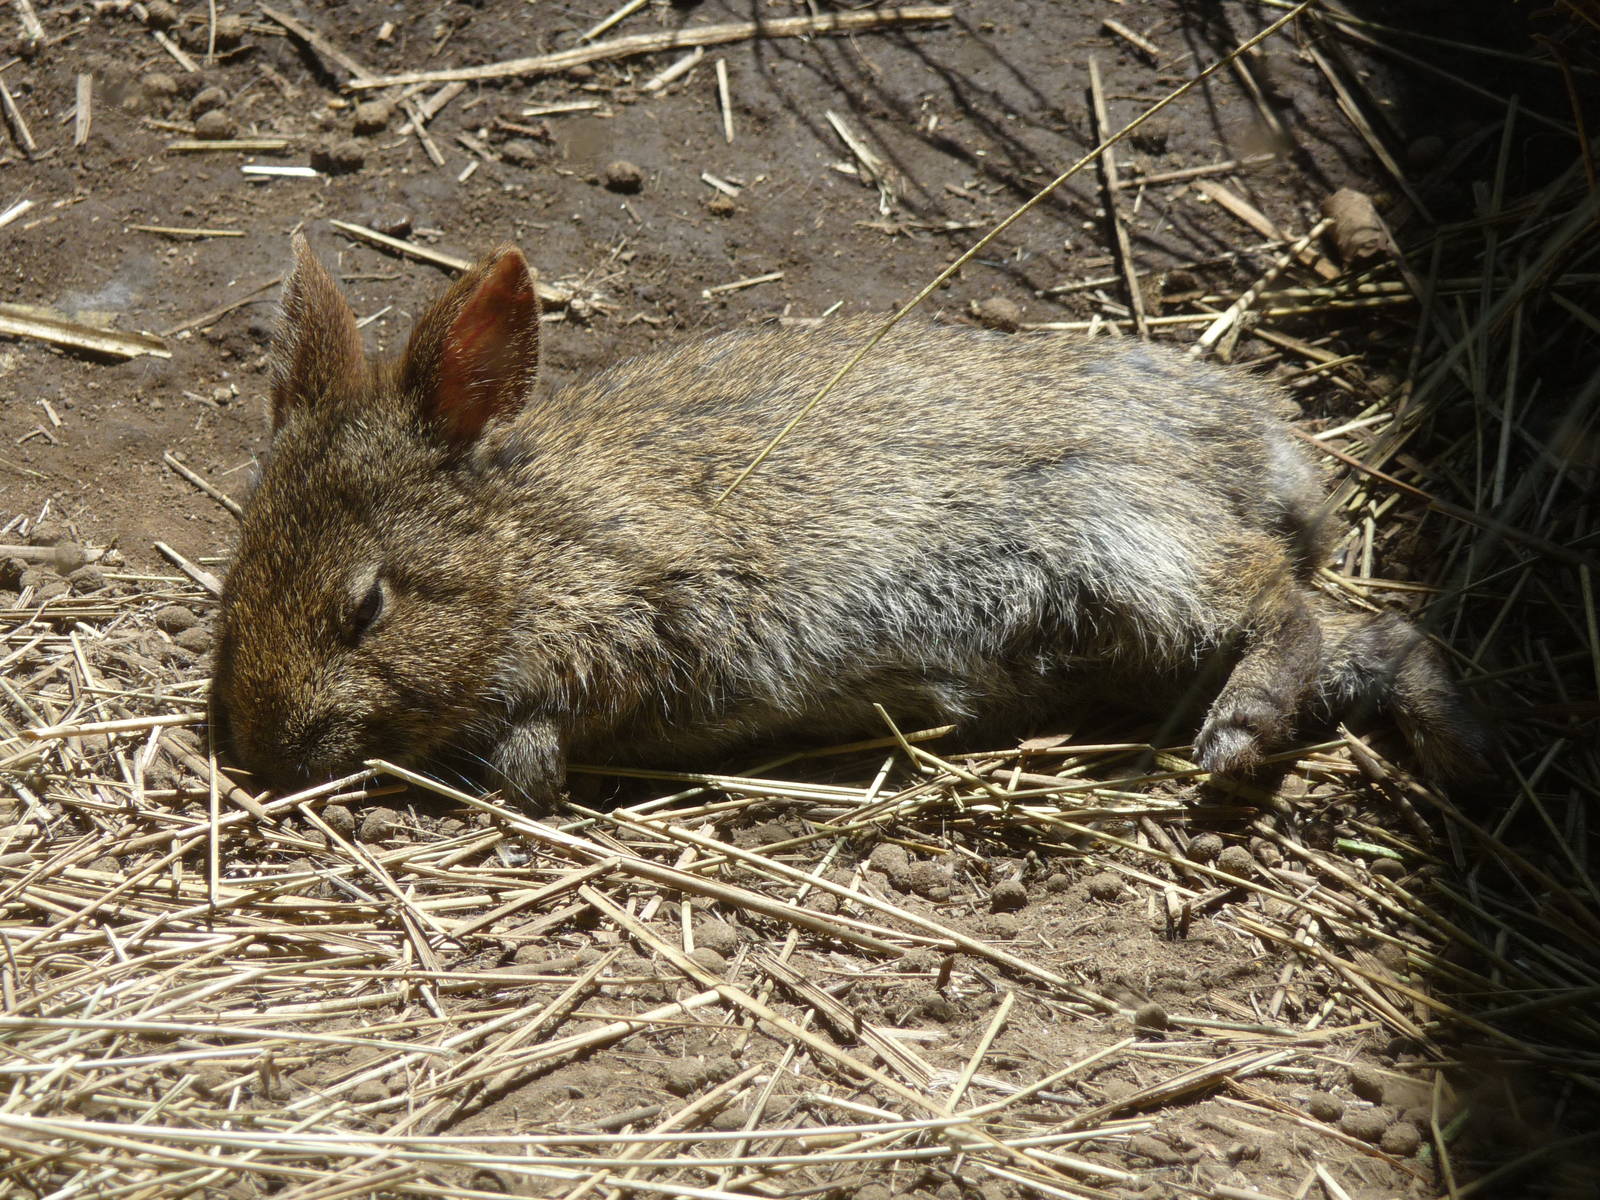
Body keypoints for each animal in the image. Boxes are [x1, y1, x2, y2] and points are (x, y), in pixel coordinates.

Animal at [212, 235, 1488, 804]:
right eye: (234, 593)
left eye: (366, 608)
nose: (263, 757)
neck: (523, 542)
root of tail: (1267, 451)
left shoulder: (648, 604)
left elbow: (542, 735)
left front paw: (498, 782)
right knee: (1367, 637)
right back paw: (1453, 746)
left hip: (1133, 543)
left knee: (1277, 603)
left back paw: (1240, 732)